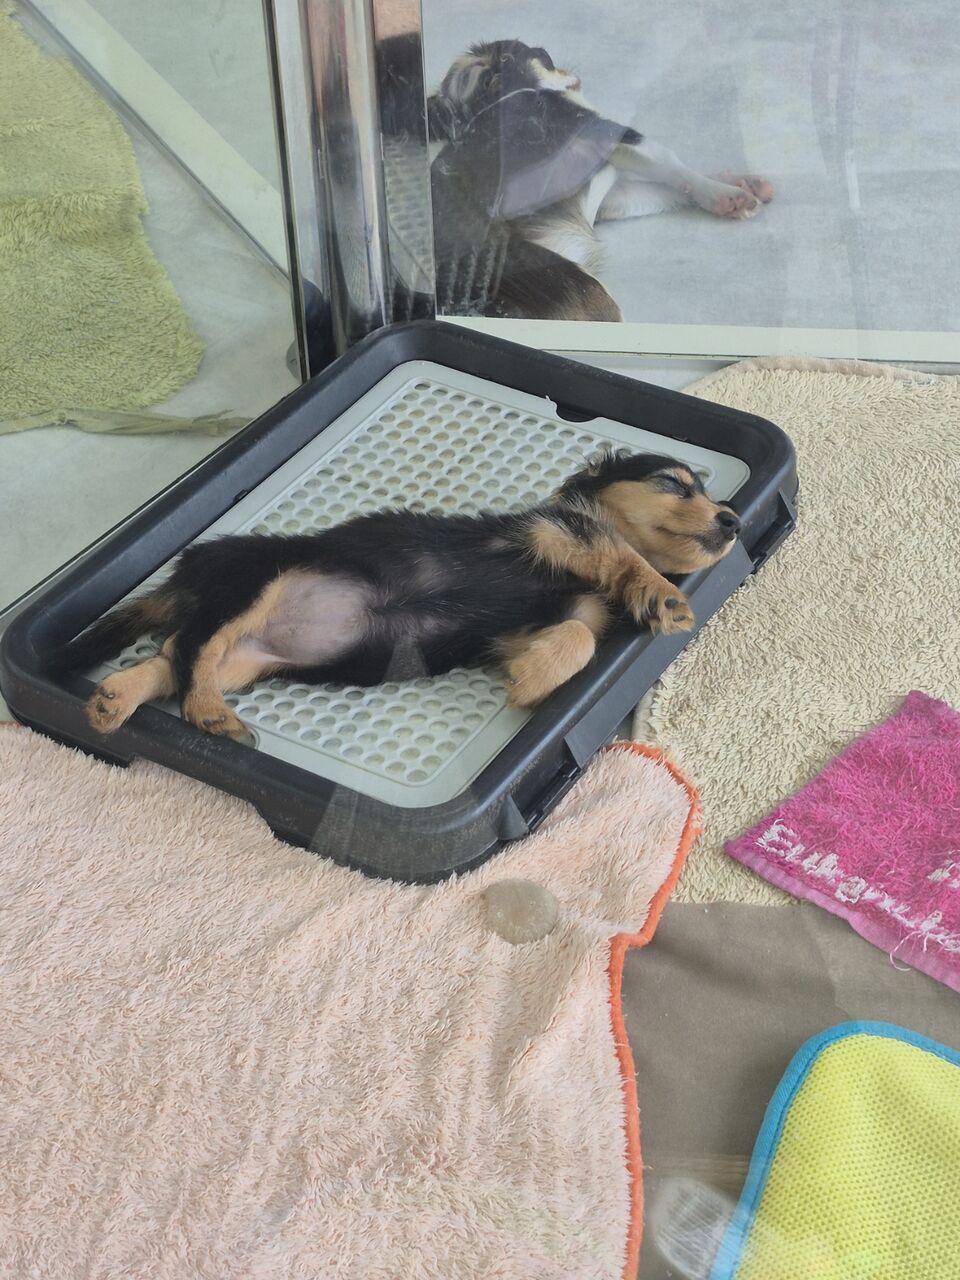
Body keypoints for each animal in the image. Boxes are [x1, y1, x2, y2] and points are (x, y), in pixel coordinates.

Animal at [55, 450, 740, 744]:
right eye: (673, 484)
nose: (733, 520)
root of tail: (186, 576)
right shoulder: (560, 531)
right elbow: (618, 556)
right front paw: (665, 600)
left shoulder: (549, 618)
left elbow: (574, 636)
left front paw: (532, 677)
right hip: (251, 580)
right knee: (193, 648)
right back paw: (208, 715)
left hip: (246, 656)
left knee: (175, 653)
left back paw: (115, 700)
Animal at [427, 39, 773, 320]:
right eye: (545, 57)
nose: (565, 67)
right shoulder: (608, 135)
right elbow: (670, 164)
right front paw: (729, 195)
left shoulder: (610, 196)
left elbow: (665, 188)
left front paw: (737, 185)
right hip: (587, 292)